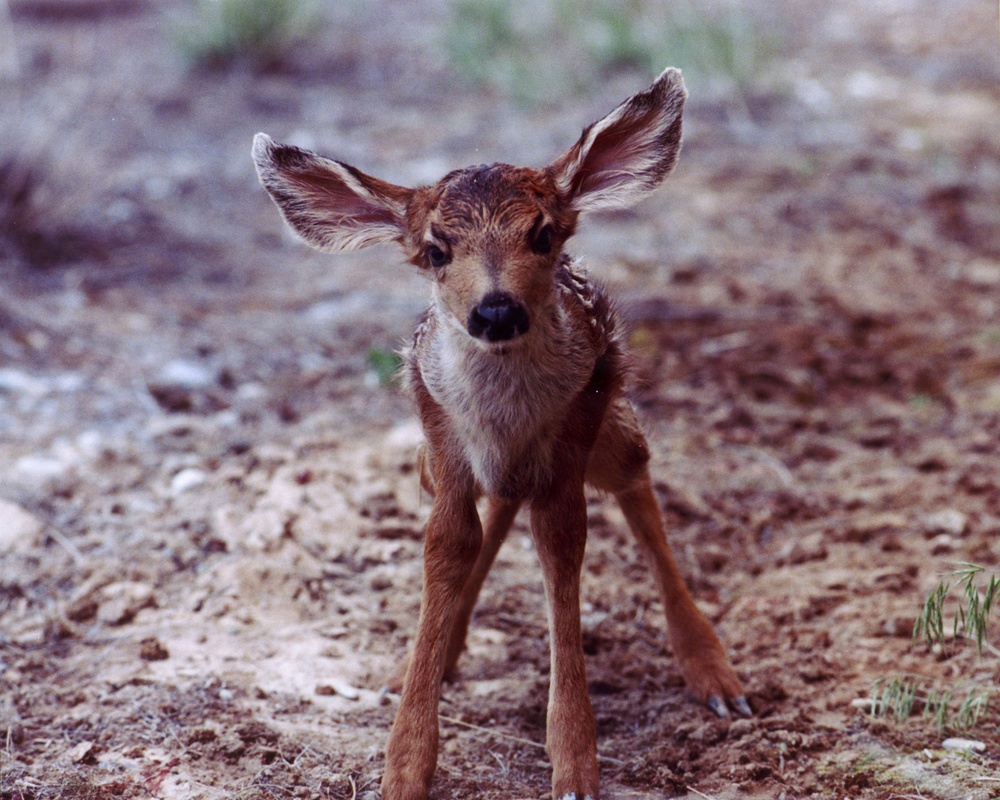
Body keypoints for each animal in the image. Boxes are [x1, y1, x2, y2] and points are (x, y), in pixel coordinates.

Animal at [252, 67, 750, 800]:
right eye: (436, 250)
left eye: (542, 235)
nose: (494, 310)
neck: (505, 417)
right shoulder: (441, 433)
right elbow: (449, 543)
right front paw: (405, 764)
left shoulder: (575, 427)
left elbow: (561, 541)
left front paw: (574, 766)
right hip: (445, 462)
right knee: (499, 512)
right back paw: (437, 653)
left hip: (612, 426)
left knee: (634, 480)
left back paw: (715, 674)